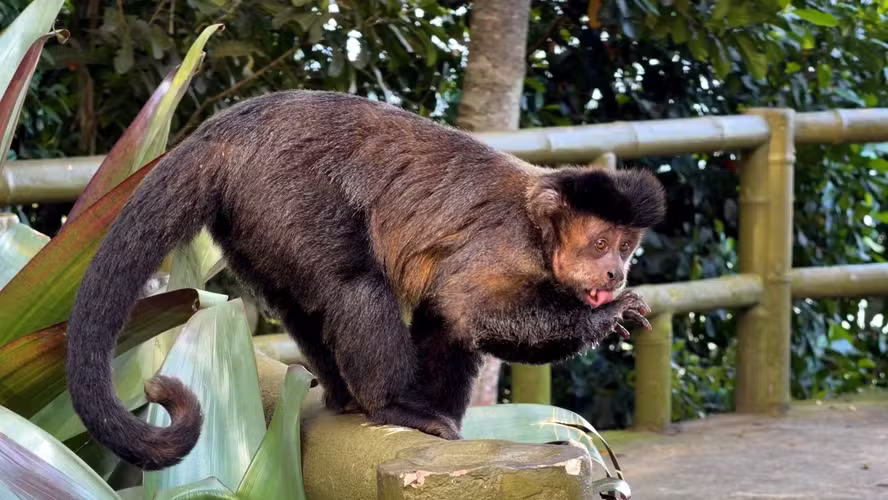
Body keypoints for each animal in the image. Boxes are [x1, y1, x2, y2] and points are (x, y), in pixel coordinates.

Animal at [65, 90, 666, 471]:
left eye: (626, 247)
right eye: (600, 245)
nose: (615, 272)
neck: (540, 231)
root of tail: (229, 127)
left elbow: (445, 321)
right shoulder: (506, 243)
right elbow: (471, 311)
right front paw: (606, 317)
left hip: (251, 217)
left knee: (305, 301)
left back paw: (344, 393)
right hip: (286, 185)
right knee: (354, 283)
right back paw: (388, 404)